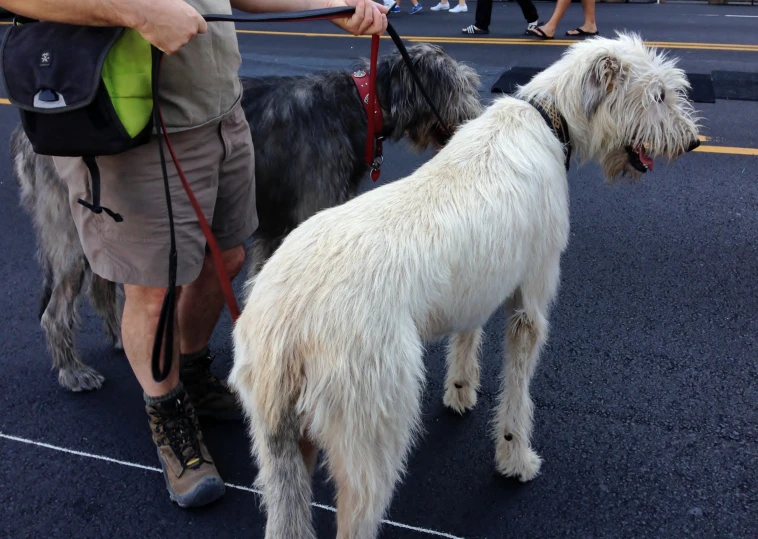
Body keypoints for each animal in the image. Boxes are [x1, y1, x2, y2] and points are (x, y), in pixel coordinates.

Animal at [8, 42, 484, 392]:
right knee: (57, 309)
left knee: (103, 287)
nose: (477, 122)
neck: (362, 104)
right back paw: (72, 371)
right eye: (458, 87)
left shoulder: (275, 231)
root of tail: (25, 134)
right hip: (71, 231)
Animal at [230, 34, 700, 539]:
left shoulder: (477, 283)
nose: (693, 140)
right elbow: (518, 385)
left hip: (276, 442)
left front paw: (459, 391)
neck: (546, 120)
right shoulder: (532, 296)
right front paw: (515, 458)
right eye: (659, 95)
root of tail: (286, 322)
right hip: (371, 429)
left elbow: (467, 335)